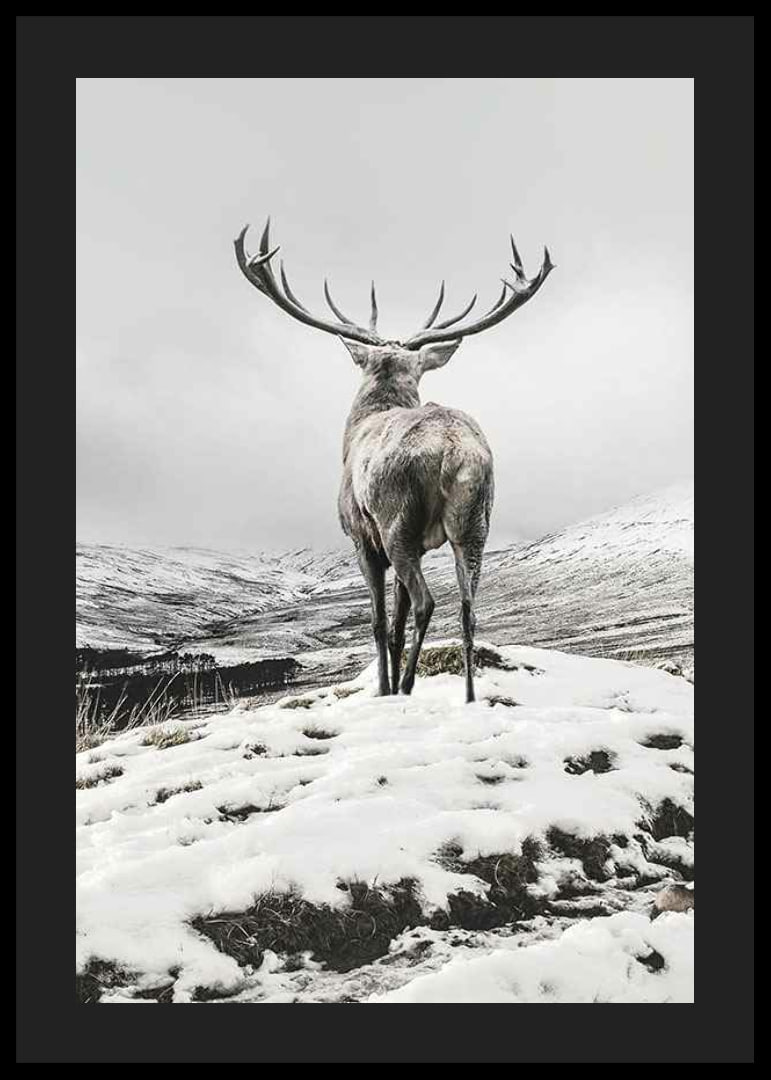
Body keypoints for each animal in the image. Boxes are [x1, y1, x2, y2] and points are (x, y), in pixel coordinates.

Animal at [235, 219, 553, 703]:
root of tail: (452, 449)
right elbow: (397, 623)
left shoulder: (361, 538)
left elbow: (381, 621)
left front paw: (383, 689)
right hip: (475, 521)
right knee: (468, 609)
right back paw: (467, 697)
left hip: (396, 521)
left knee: (427, 602)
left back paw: (404, 687)